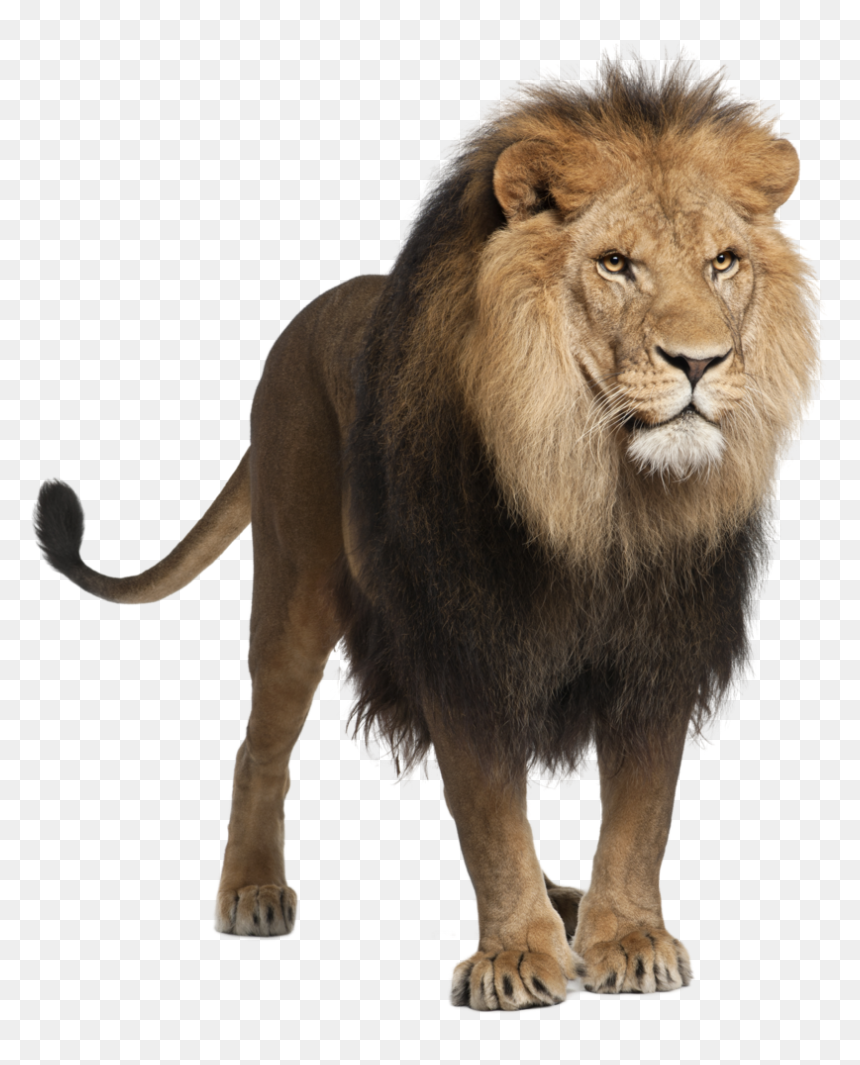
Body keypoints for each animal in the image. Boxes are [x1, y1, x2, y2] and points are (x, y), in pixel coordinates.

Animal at [34, 59, 817, 1010]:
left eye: (723, 261)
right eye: (616, 264)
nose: (700, 362)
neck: (598, 496)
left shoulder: (658, 651)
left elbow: (641, 813)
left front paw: (627, 936)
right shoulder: (460, 644)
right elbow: (488, 812)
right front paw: (515, 956)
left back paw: (568, 901)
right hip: (294, 586)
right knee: (259, 745)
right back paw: (253, 888)